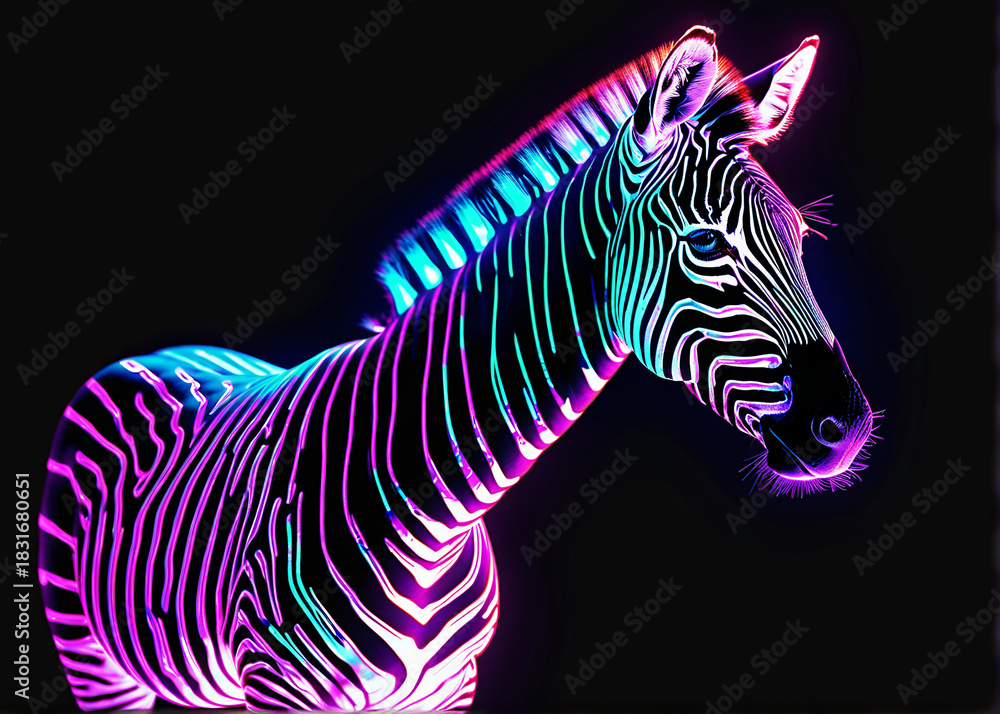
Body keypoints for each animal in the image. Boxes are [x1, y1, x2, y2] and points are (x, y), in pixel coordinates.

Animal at [39, 25, 875, 711]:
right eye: (705, 245)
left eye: (801, 237)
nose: (847, 426)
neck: (433, 510)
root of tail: (151, 353)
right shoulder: (281, 691)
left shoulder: (449, 690)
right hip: (93, 660)